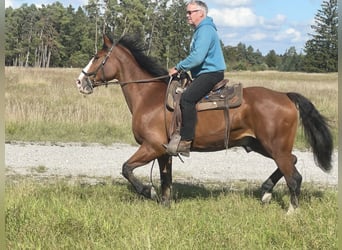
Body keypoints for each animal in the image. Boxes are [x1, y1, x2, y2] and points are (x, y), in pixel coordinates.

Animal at [76, 33, 332, 213]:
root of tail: (285, 96)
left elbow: (126, 169)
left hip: (275, 146)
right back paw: (267, 191)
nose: (80, 81)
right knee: (293, 161)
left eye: (97, 57)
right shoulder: (164, 151)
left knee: (294, 176)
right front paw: (165, 203)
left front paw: (148, 192)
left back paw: (291, 211)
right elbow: (165, 179)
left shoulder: (151, 146)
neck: (148, 96)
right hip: (259, 144)